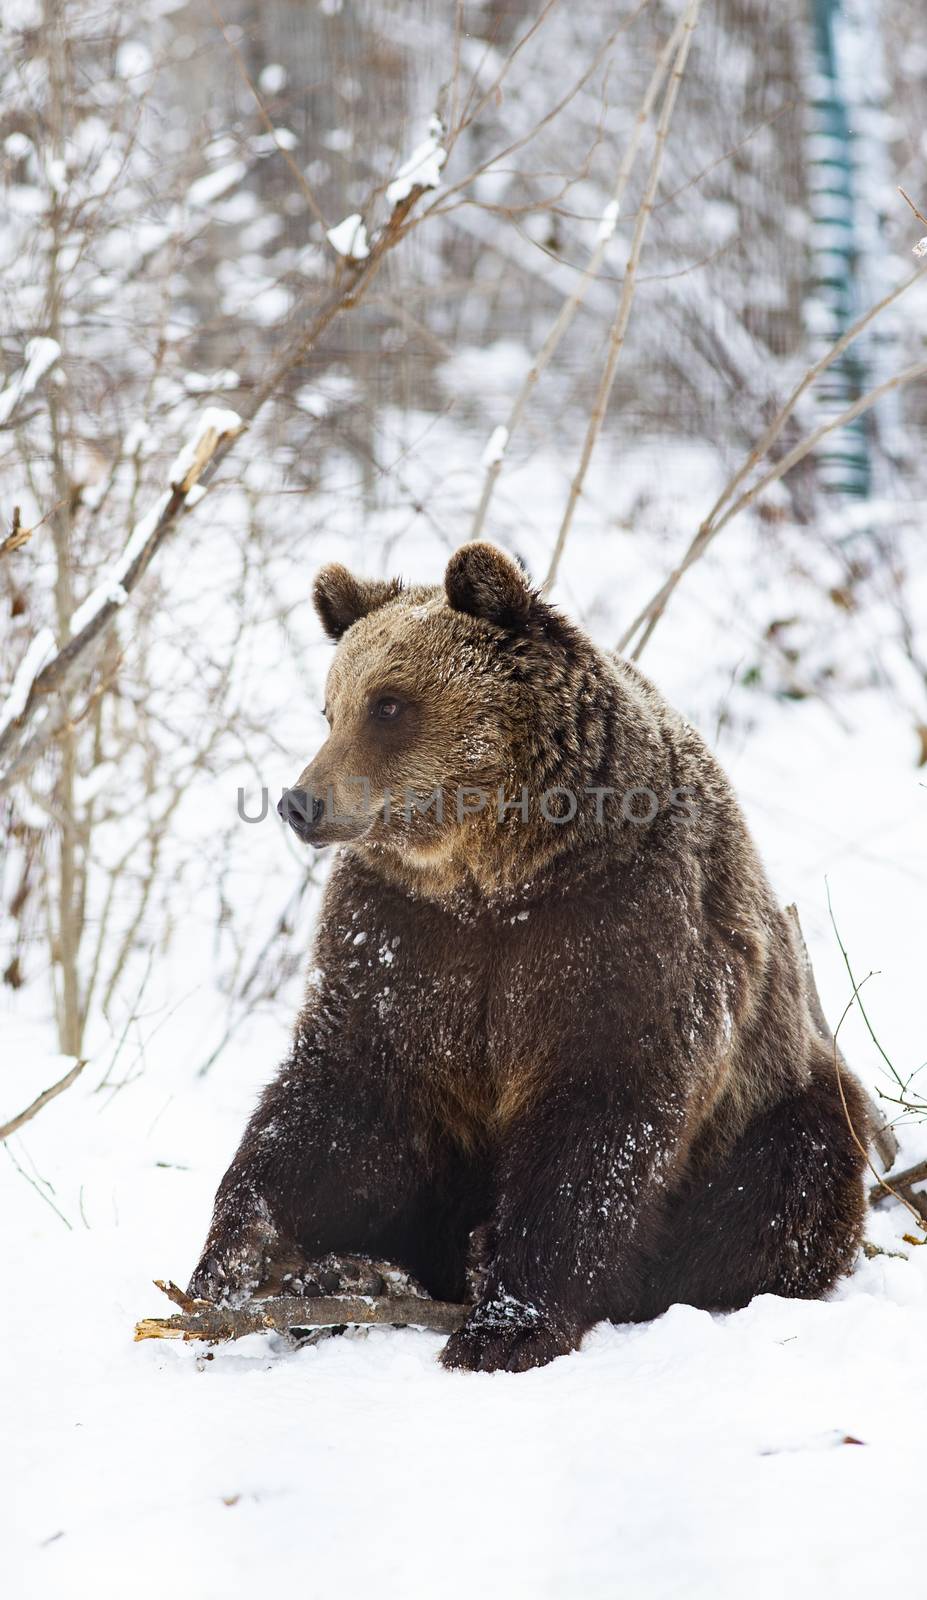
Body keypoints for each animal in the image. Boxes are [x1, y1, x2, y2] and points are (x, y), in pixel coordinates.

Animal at [188, 544, 870, 1369]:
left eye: (389, 704)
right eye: (332, 706)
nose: (301, 802)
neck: (497, 877)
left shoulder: (619, 928)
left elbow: (598, 1116)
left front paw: (507, 1324)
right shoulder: (404, 941)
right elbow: (345, 1092)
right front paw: (234, 1258)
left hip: (774, 1104)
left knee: (788, 1184)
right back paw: (352, 1274)